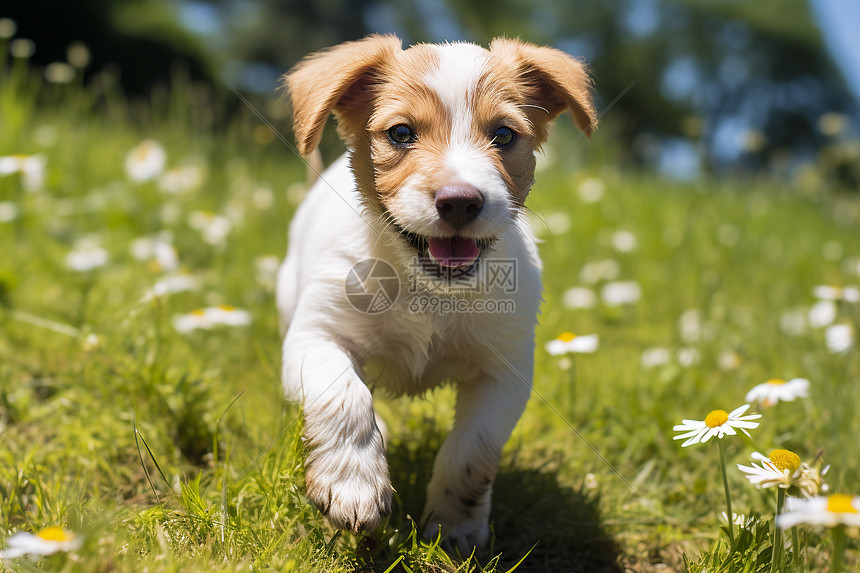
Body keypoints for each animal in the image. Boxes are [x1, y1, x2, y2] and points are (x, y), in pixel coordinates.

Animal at [278, 35, 596, 548]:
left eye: (504, 135)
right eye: (401, 133)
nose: (460, 201)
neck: (425, 288)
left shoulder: (504, 375)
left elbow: (471, 453)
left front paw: (454, 530)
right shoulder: (316, 337)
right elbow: (344, 396)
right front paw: (354, 485)